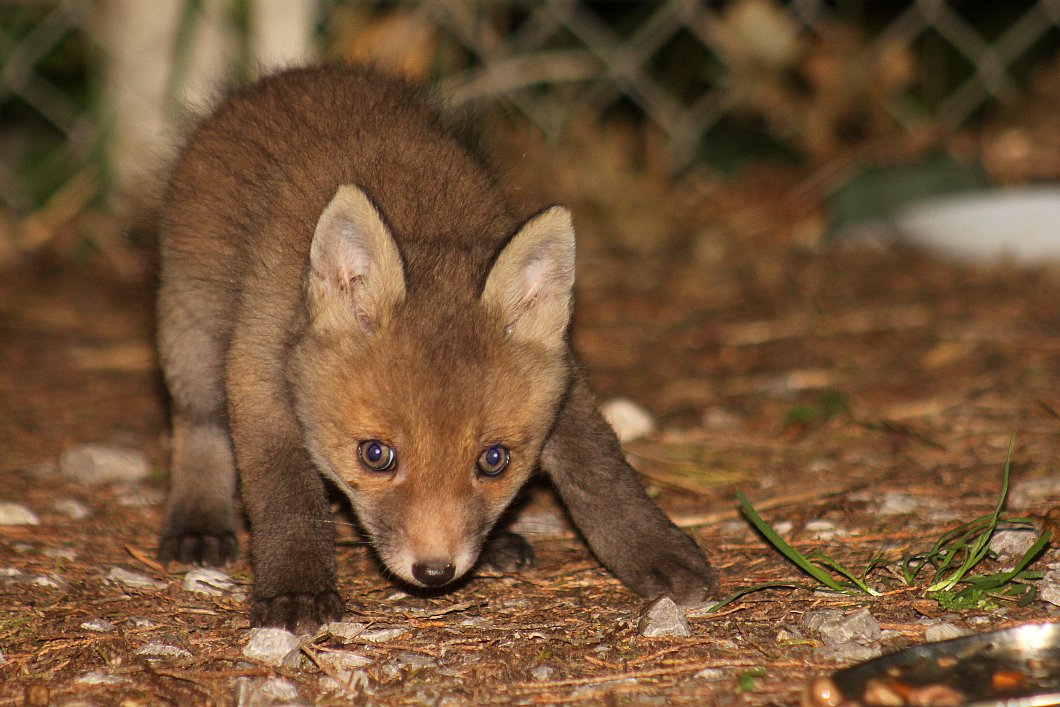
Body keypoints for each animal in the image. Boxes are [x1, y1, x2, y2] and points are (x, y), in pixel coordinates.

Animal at [156, 65, 718, 633]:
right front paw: (297, 587)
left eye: (494, 461)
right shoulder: (260, 371)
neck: (421, 217)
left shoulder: (565, 379)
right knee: (199, 426)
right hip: (193, 342)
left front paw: (657, 551)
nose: (433, 571)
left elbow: (602, 473)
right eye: (376, 455)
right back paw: (197, 523)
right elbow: (286, 495)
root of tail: (291, 75)